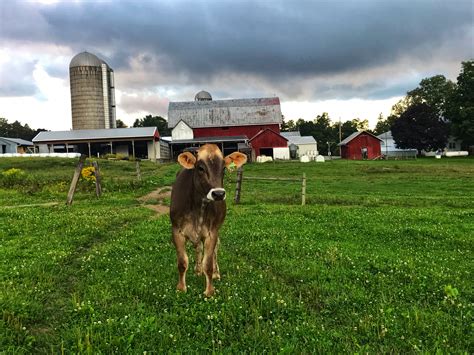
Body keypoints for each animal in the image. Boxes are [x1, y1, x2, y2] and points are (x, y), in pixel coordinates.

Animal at [169, 145, 246, 298]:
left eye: (223, 168)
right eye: (200, 168)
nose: (218, 194)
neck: (197, 207)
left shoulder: (212, 233)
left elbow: (209, 264)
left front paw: (209, 291)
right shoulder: (177, 231)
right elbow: (182, 262)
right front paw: (181, 288)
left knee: (215, 251)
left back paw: (216, 273)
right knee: (198, 248)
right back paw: (198, 269)